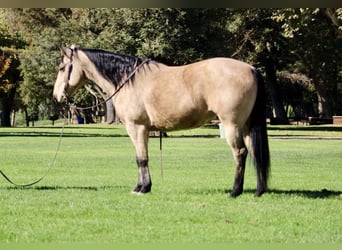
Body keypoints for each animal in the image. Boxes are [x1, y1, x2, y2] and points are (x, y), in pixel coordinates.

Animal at [52, 45, 270, 197]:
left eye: (62, 67)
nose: (56, 96)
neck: (128, 81)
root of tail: (251, 69)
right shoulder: (144, 129)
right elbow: (141, 157)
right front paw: (141, 186)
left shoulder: (137, 127)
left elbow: (141, 158)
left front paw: (142, 188)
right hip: (246, 126)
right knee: (254, 152)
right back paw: (259, 190)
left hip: (232, 125)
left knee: (240, 153)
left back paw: (235, 191)